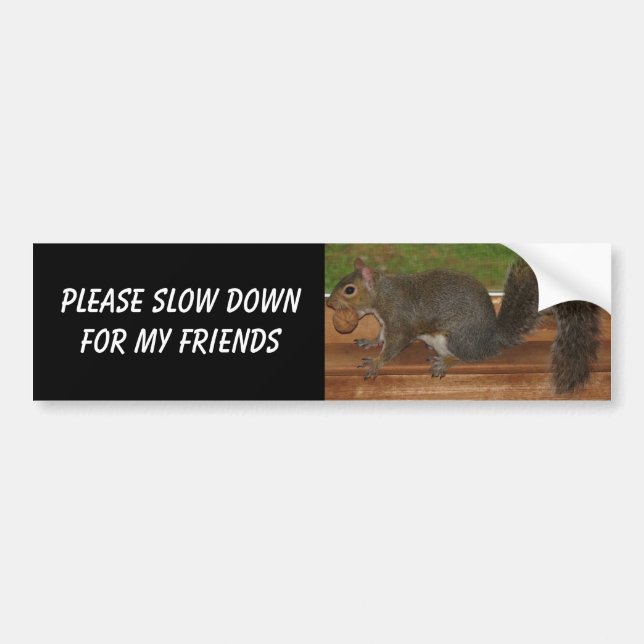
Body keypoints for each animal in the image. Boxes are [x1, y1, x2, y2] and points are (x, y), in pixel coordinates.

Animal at [327, 257, 601, 393]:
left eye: (349, 290)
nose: (329, 303)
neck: (384, 295)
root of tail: (491, 339)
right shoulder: (387, 323)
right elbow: (382, 336)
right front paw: (371, 341)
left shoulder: (400, 321)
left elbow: (394, 345)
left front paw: (376, 363)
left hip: (456, 338)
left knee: (466, 358)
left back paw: (445, 361)